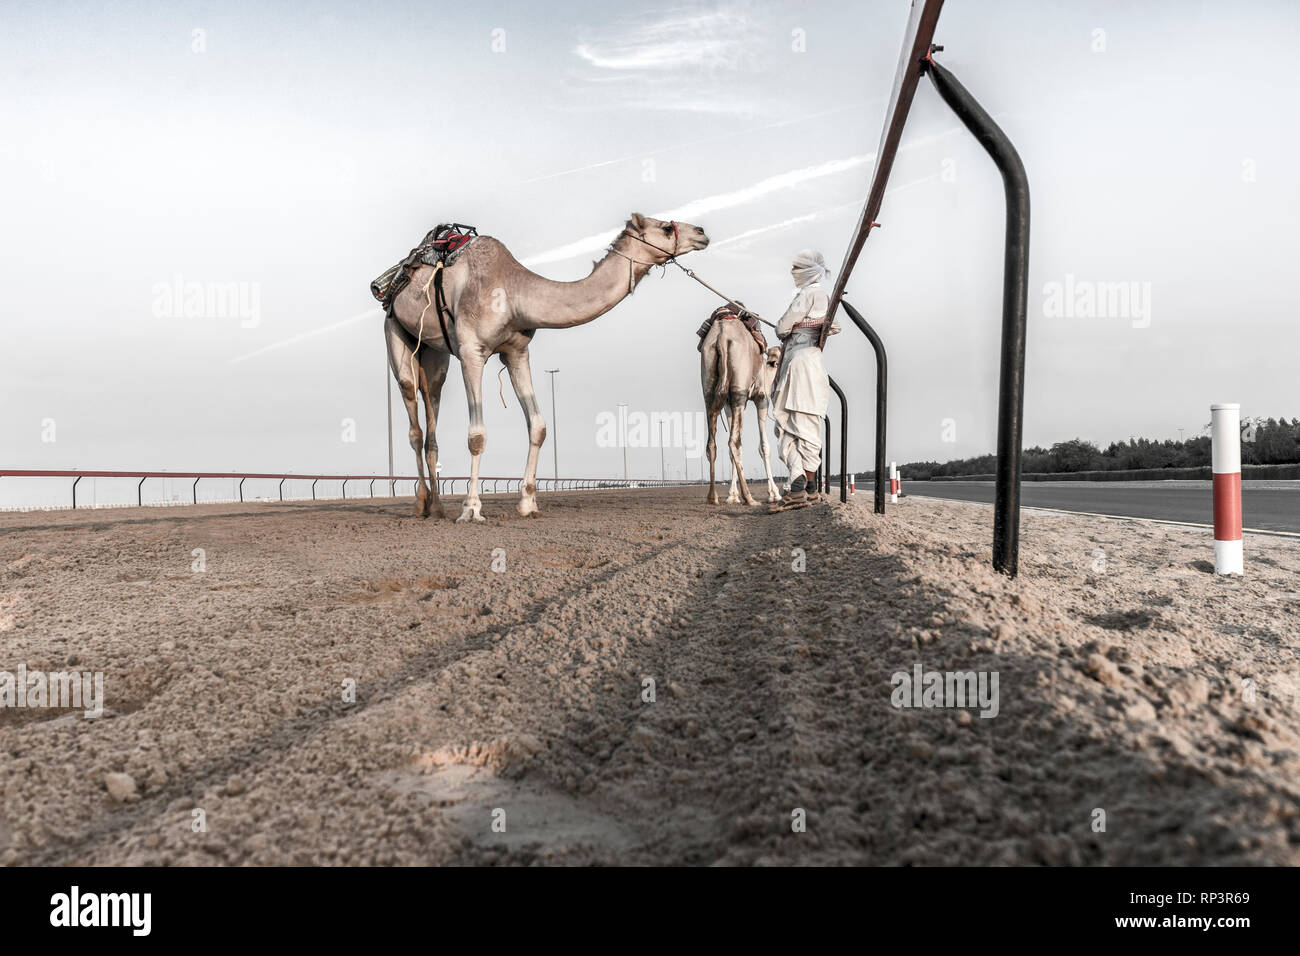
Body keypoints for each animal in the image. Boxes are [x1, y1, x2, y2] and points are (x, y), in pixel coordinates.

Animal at [384, 214, 712, 522]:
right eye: (666, 228)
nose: (702, 233)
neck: (513, 295)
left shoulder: (516, 352)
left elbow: (538, 426)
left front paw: (528, 504)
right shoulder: (471, 352)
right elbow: (477, 435)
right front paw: (471, 509)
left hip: (435, 354)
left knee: (432, 407)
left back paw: (437, 507)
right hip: (395, 330)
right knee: (413, 414)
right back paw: (421, 504)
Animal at [702, 316, 780, 509]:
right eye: (775, 361)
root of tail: (721, 337)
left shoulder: (728, 405)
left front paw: (732, 496)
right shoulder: (762, 398)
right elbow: (764, 447)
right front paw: (774, 494)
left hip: (709, 383)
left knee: (712, 444)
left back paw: (712, 497)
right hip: (739, 389)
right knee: (733, 442)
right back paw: (749, 498)